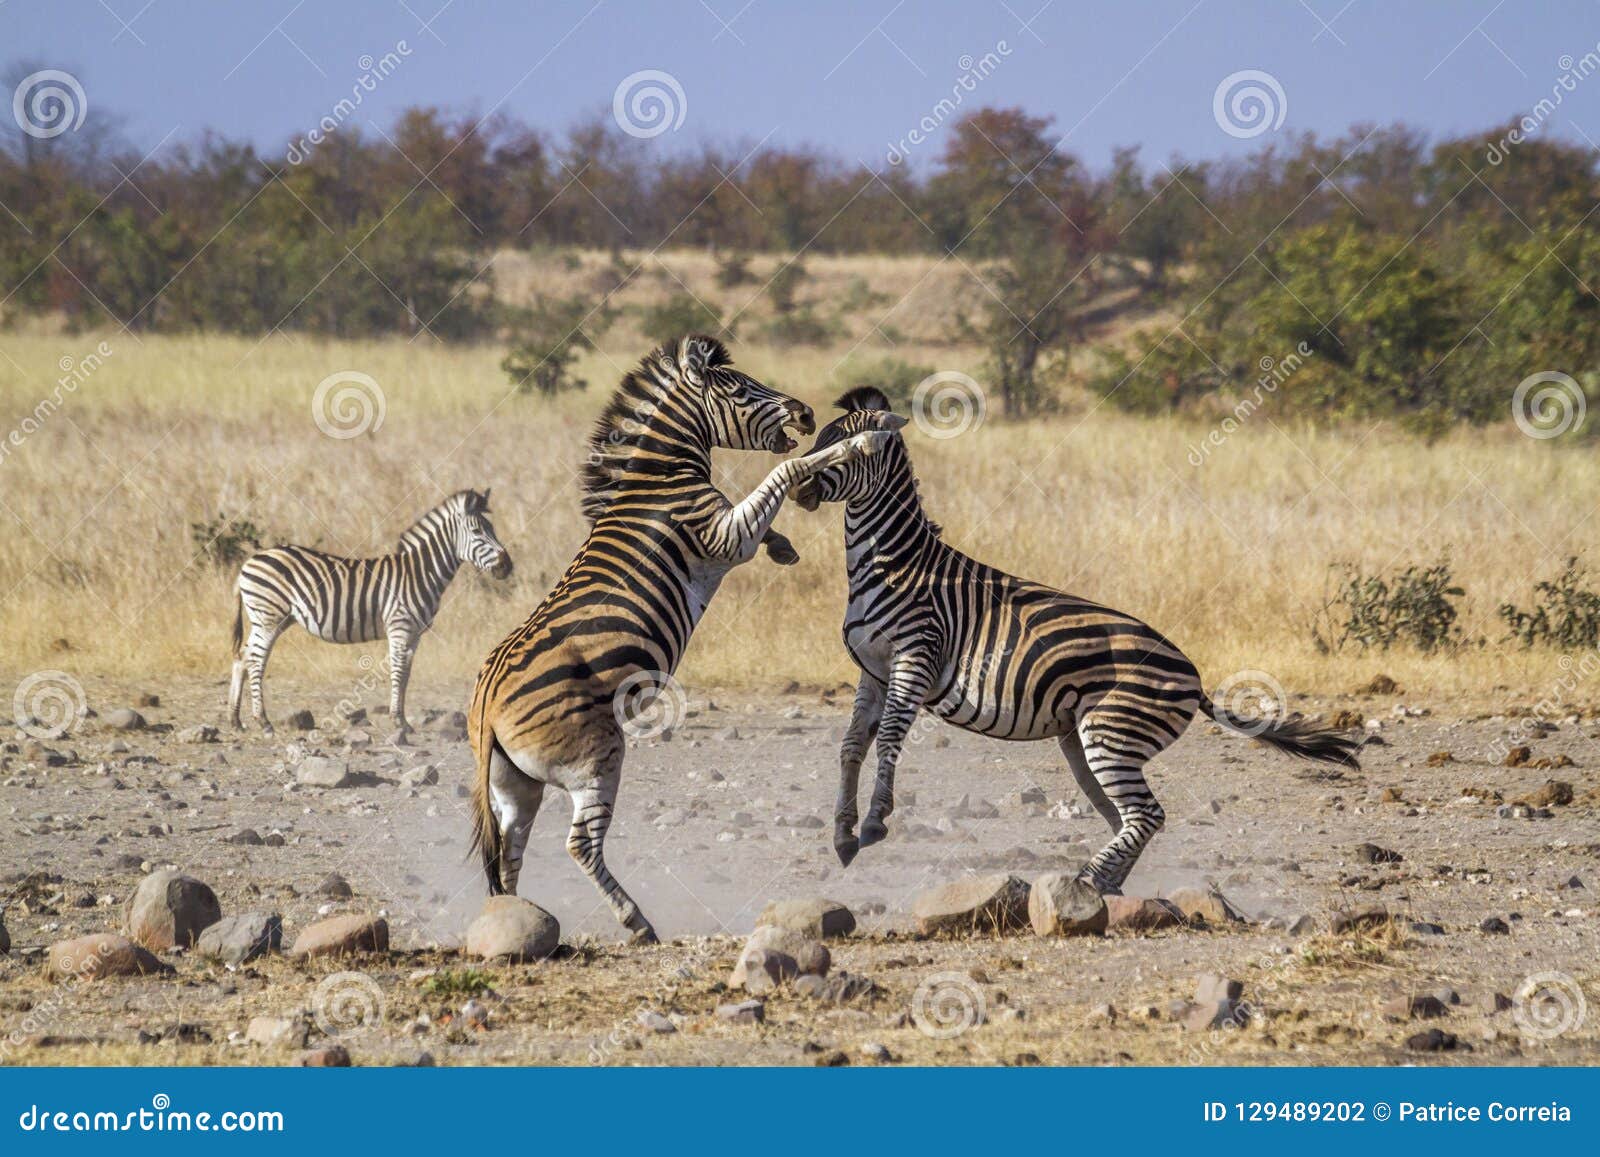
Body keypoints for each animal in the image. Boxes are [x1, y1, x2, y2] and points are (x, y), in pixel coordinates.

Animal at [225, 492, 508, 736]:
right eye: (477, 531)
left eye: (493, 529)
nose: (508, 565)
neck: (420, 573)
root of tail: (249, 561)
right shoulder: (399, 626)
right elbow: (397, 671)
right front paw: (398, 722)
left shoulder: (414, 634)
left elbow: (406, 674)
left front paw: (403, 720)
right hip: (268, 617)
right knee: (256, 661)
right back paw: (263, 722)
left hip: (270, 620)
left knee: (242, 657)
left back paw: (236, 720)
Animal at [467, 334, 902, 940]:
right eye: (740, 389)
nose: (807, 413)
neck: (663, 477)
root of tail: (485, 703)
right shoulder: (722, 534)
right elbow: (784, 470)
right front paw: (862, 439)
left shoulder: (728, 527)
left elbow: (767, 501)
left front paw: (785, 547)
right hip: (597, 755)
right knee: (579, 845)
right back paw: (636, 922)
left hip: (515, 786)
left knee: (511, 853)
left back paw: (520, 919)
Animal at [793, 388, 1356, 896]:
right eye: (821, 439)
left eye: (847, 447)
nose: (798, 484)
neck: (894, 563)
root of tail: (1195, 679)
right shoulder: (872, 669)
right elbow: (851, 745)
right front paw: (842, 833)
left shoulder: (916, 655)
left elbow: (889, 738)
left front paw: (874, 822)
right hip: (1089, 741)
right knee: (1132, 818)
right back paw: (1102, 886)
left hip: (1113, 733)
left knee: (1148, 814)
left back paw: (1087, 881)